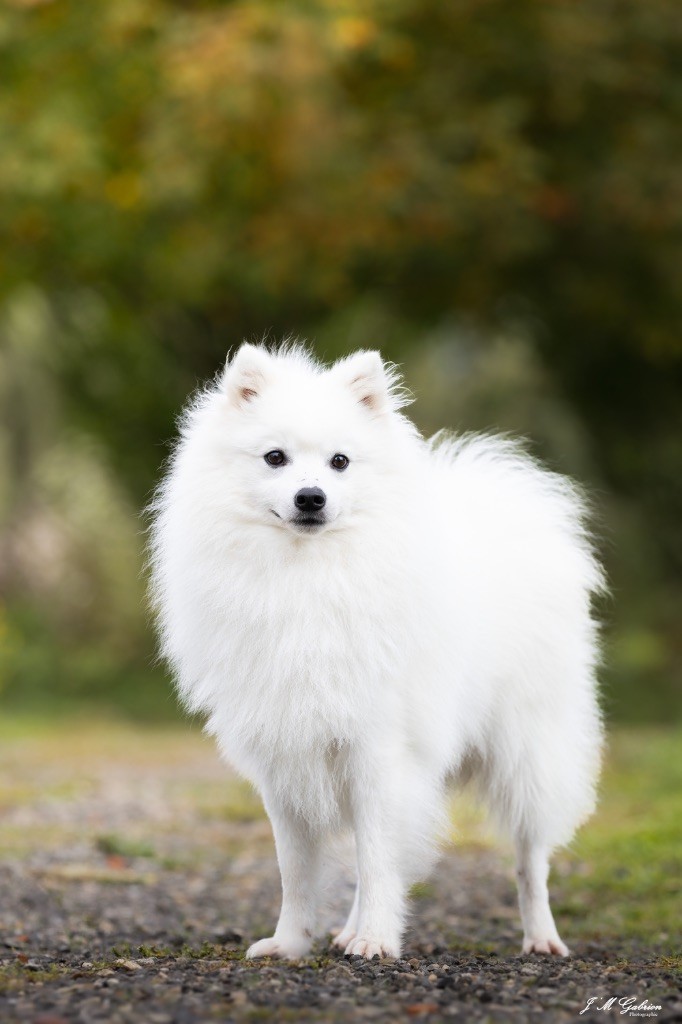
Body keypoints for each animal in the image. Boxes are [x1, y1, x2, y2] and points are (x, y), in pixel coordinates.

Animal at [148, 342, 602, 958]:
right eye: (274, 458)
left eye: (340, 461)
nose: (311, 497)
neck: (308, 578)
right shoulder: (285, 757)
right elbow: (297, 870)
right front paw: (291, 944)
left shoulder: (380, 749)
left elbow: (379, 859)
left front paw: (378, 940)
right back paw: (347, 931)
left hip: (527, 749)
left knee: (530, 857)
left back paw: (542, 938)